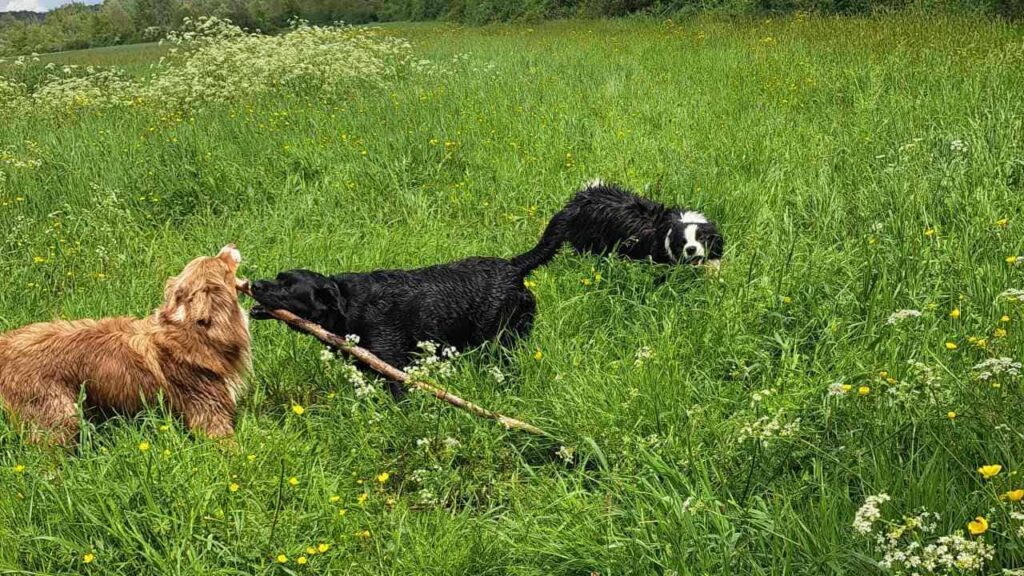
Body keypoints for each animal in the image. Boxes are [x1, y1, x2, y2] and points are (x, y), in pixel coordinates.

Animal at [250, 215, 565, 393]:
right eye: (278, 276)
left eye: (288, 286)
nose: (254, 284)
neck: (347, 304)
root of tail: (514, 266)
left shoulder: (394, 367)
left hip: (497, 343)